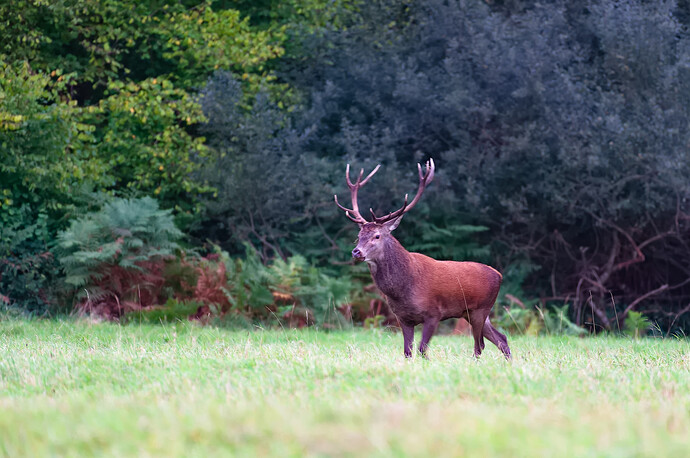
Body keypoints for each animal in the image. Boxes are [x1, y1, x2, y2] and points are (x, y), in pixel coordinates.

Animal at [335, 159, 511, 359]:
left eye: (377, 236)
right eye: (359, 235)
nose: (356, 252)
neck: (402, 290)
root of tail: (499, 275)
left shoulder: (434, 313)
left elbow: (422, 349)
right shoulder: (403, 318)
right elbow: (407, 352)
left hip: (480, 309)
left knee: (479, 345)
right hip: (471, 313)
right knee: (501, 338)